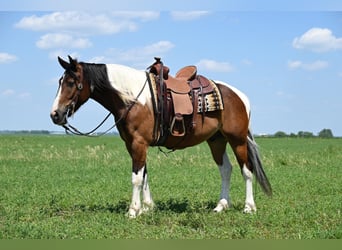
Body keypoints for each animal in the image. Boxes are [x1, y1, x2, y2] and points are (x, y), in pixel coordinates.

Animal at [50, 55, 272, 218]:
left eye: (71, 82)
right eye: (60, 82)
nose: (55, 115)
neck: (133, 98)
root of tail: (239, 96)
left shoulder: (139, 143)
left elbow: (136, 178)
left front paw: (133, 211)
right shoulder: (132, 144)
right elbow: (144, 175)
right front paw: (147, 207)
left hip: (237, 139)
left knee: (247, 170)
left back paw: (249, 207)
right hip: (217, 140)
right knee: (226, 169)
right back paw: (221, 206)